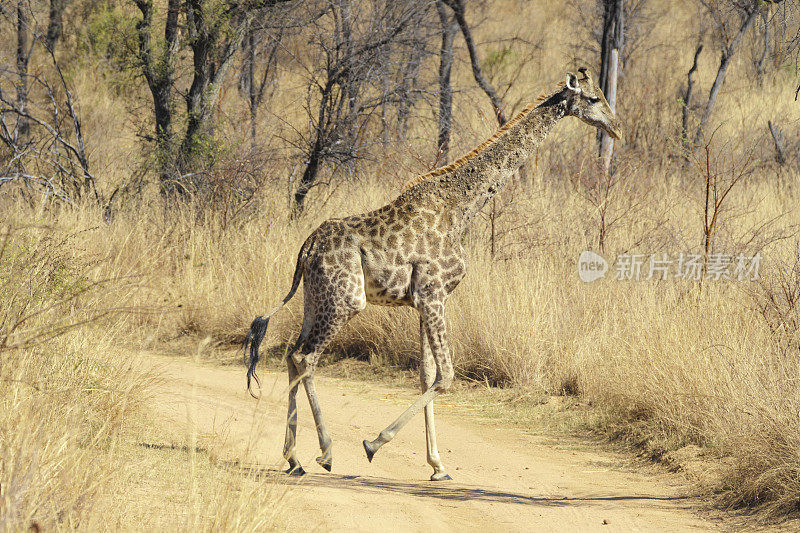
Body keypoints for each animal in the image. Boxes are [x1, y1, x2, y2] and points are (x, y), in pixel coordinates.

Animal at [244, 65, 624, 478]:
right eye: (593, 98)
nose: (617, 127)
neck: (462, 208)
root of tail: (305, 249)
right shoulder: (433, 292)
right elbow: (446, 375)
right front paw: (375, 443)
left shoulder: (422, 300)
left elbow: (426, 374)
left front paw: (437, 464)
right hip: (347, 300)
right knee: (305, 358)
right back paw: (325, 451)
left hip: (315, 298)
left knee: (291, 355)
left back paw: (293, 457)